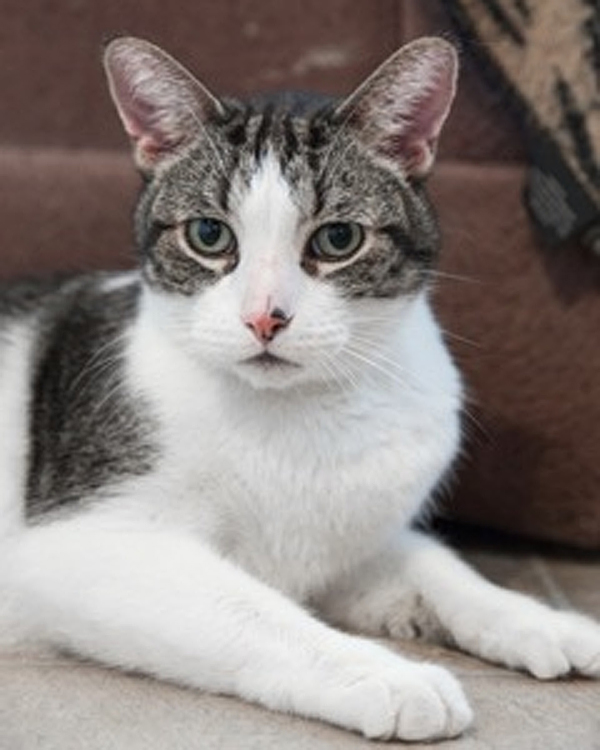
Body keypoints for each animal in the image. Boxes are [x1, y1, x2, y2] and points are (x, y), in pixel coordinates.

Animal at [1, 36, 600, 748]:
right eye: (209, 235)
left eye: (338, 239)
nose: (266, 318)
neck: (303, 415)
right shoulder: (81, 543)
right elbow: (253, 611)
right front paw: (390, 676)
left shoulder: (354, 536)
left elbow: (438, 563)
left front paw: (542, 620)